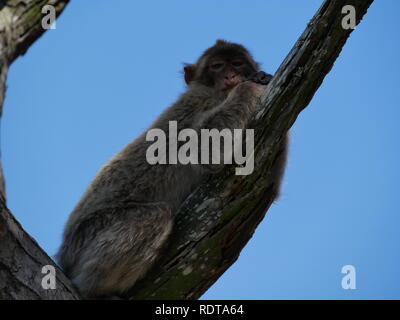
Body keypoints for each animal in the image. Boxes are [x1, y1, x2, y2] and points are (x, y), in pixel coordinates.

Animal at [55, 40, 288, 300]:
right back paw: (93, 290)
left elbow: (266, 183)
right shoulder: (200, 102)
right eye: (217, 66)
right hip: (87, 236)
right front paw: (251, 85)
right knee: (156, 215)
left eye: (237, 63)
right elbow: (203, 150)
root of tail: (63, 256)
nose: (231, 75)